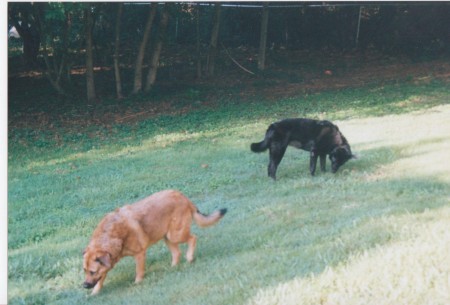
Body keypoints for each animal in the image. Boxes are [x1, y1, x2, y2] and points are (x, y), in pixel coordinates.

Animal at [82, 189, 227, 294]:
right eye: (85, 270)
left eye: (92, 272)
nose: (84, 285)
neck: (112, 234)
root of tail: (183, 196)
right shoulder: (107, 263)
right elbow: (101, 279)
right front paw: (94, 293)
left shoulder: (139, 254)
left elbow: (139, 272)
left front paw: (137, 284)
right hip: (167, 237)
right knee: (177, 253)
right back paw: (173, 267)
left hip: (175, 235)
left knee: (193, 238)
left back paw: (190, 257)